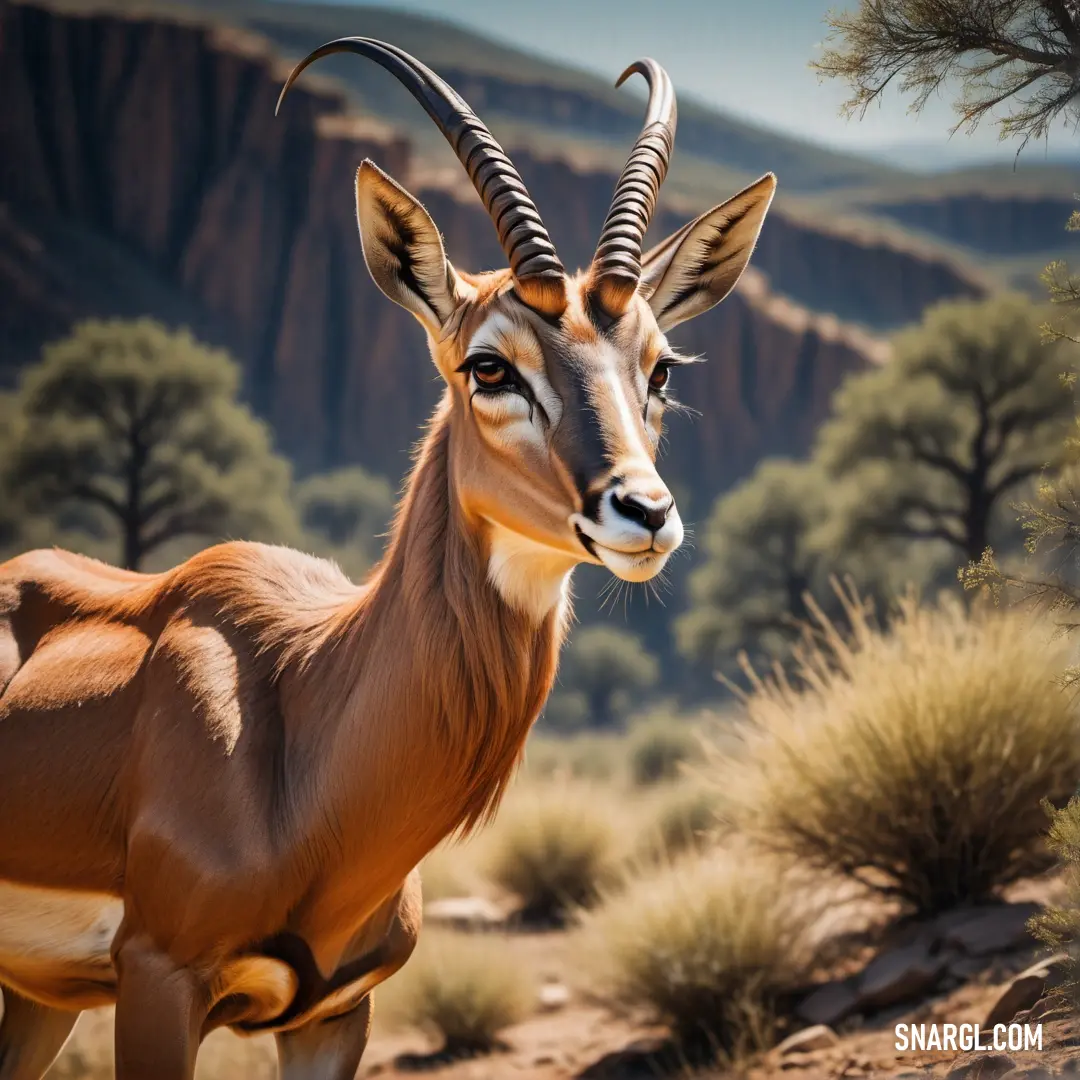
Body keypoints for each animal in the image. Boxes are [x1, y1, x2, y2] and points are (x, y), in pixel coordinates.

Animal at [0, 35, 777, 1080]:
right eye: (489, 364)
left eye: (659, 367)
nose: (643, 512)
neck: (304, 713)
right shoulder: (160, 983)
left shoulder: (337, 1013)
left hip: (39, 999)